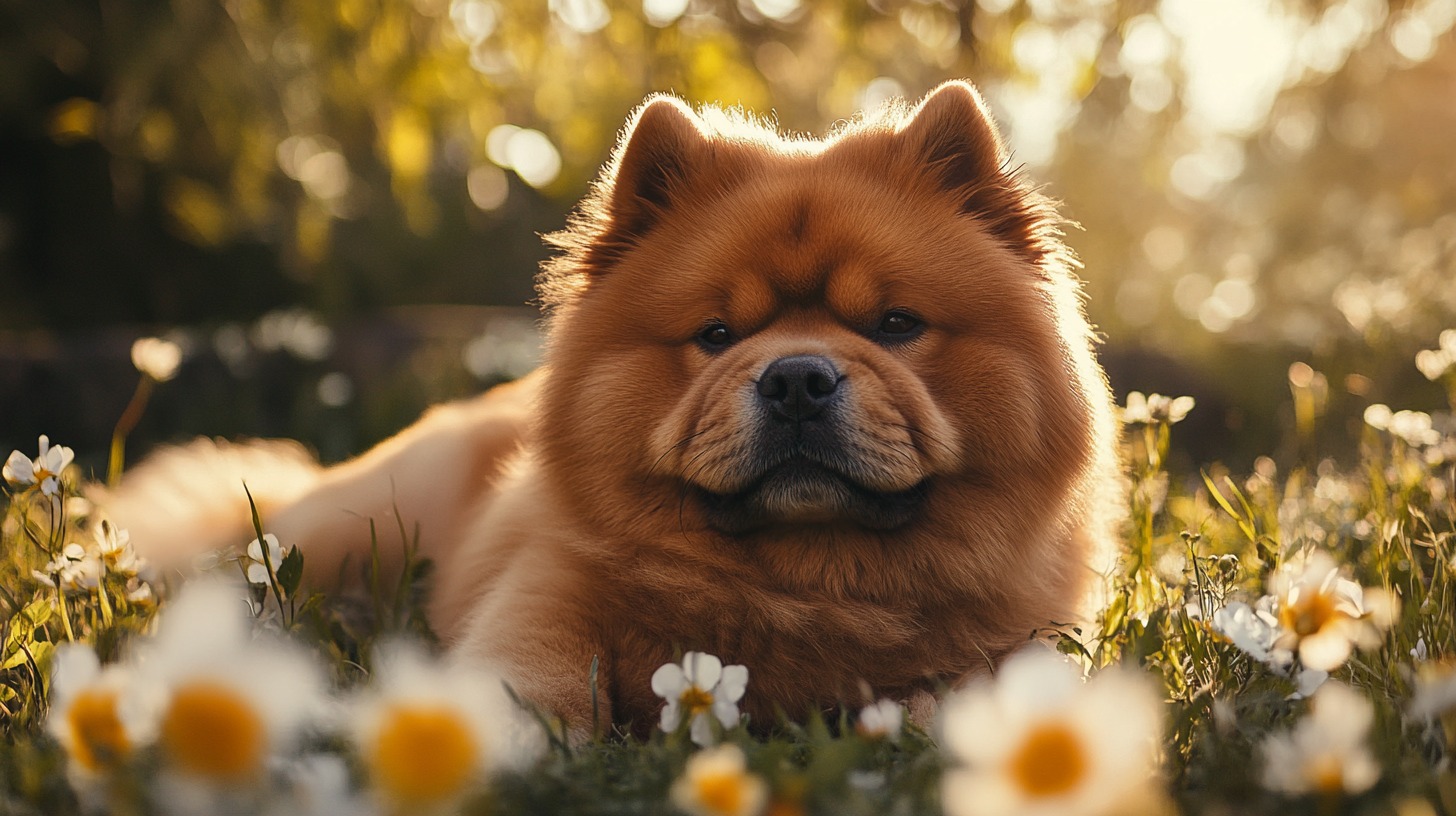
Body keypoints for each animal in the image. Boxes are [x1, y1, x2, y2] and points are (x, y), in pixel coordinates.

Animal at [107, 79, 1118, 737]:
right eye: (716, 334)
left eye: (897, 324)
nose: (796, 378)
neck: (805, 584)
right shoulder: (544, 596)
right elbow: (536, 683)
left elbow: (959, 693)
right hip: (353, 528)